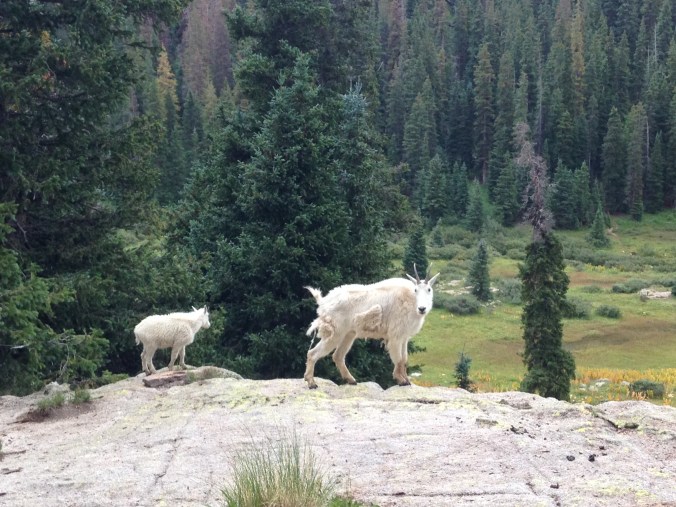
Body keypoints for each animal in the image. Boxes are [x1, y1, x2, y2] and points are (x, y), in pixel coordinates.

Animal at [304, 265, 440, 389]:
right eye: (416, 290)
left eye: (429, 289)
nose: (422, 308)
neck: (410, 300)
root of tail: (323, 302)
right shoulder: (395, 335)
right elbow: (398, 358)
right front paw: (401, 380)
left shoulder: (404, 337)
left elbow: (404, 360)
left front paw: (407, 380)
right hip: (335, 333)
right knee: (313, 353)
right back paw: (311, 383)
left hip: (348, 334)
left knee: (338, 356)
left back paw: (351, 380)